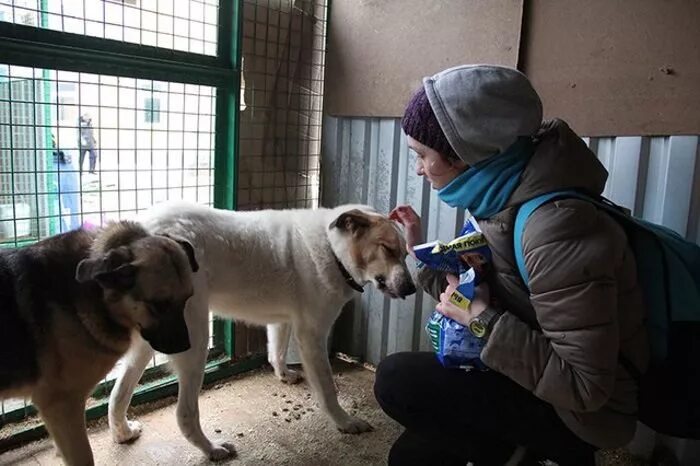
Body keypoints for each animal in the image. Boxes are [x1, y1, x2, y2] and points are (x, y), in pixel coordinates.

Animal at [107, 202, 416, 460]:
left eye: (404, 253)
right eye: (387, 249)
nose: (412, 289)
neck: (331, 248)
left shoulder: (282, 322)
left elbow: (275, 353)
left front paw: (284, 375)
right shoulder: (312, 335)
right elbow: (328, 390)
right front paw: (345, 422)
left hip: (146, 346)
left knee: (118, 394)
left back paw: (123, 432)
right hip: (194, 342)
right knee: (184, 413)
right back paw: (211, 449)